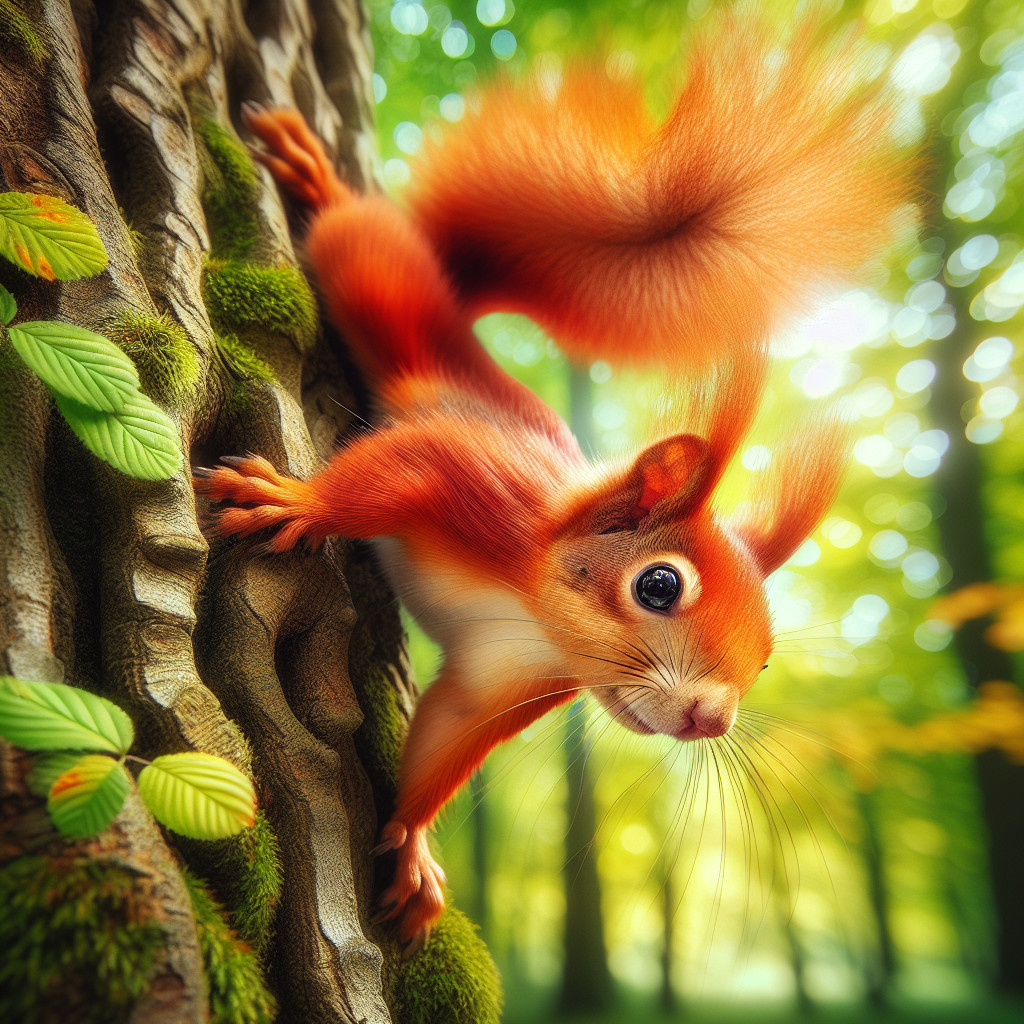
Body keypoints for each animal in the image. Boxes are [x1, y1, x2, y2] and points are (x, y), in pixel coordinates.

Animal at [194, 15, 916, 953]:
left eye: (765, 659)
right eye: (658, 585)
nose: (712, 719)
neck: (537, 615)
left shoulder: (497, 684)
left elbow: (441, 747)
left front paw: (413, 849)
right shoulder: (475, 482)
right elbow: (387, 472)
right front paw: (295, 502)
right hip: (381, 286)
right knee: (358, 236)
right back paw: (316, 175)